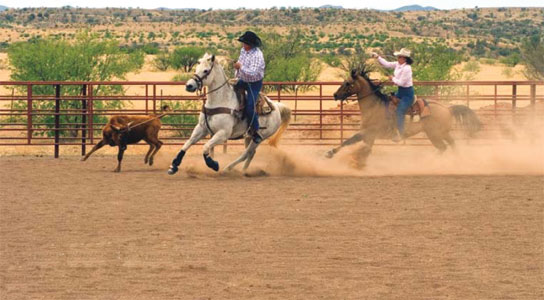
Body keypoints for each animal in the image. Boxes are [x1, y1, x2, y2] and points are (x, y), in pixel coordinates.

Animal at [326, 67, 482, 169]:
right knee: (452, 144)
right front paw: (358, 163)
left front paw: (330, 153)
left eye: (347, 83)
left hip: (434, 134)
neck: (375, 106)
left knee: (442, 147)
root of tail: (447, 109)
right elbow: (365, 149)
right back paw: (457, 161)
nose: (335, 95)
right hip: (442, 133)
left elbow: (350, 140)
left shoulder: (371, 131)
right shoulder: (370, 135)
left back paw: (428, 163)